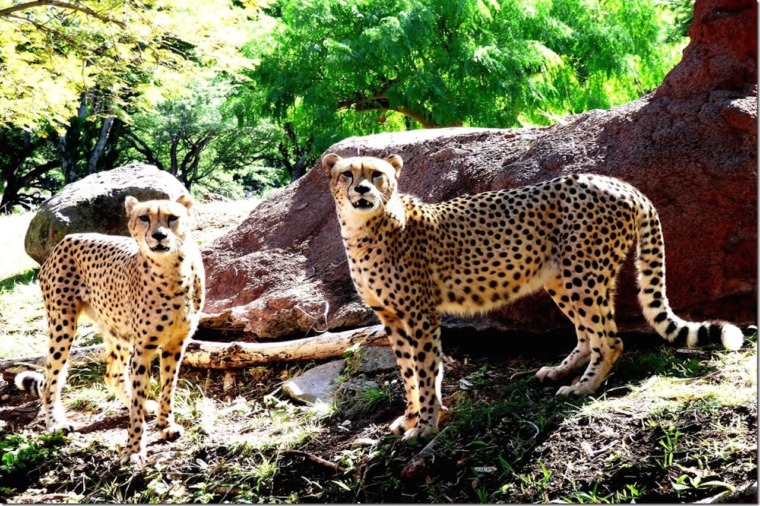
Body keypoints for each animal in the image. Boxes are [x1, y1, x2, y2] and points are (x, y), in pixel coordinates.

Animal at [15, 194, 205, 462]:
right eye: (144, 218)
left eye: (172, 217)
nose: (159, 235)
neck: (172, 272)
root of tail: (67, 238)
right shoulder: (143, 349)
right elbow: (137, 400)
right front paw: (134, 449)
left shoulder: (175, 344)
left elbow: (168, 386)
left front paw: (165, 425)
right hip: (62, 324)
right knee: (51, 377)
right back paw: (55, 424)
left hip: (118, 330)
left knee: (112, 374)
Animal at [322, 153, 744, 438]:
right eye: (347, 174)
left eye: (377, 174)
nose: (362, 190)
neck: (364, 230)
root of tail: (617, 182)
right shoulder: (392, 318)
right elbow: (408, 373)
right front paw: (410, 417)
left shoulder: (420, 315)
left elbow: (426, 373)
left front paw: (425, 424)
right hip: (563, 278)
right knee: (588, 333)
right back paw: (562, 370)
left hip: (583, 273)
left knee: (611, 339)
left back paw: (582, 387)